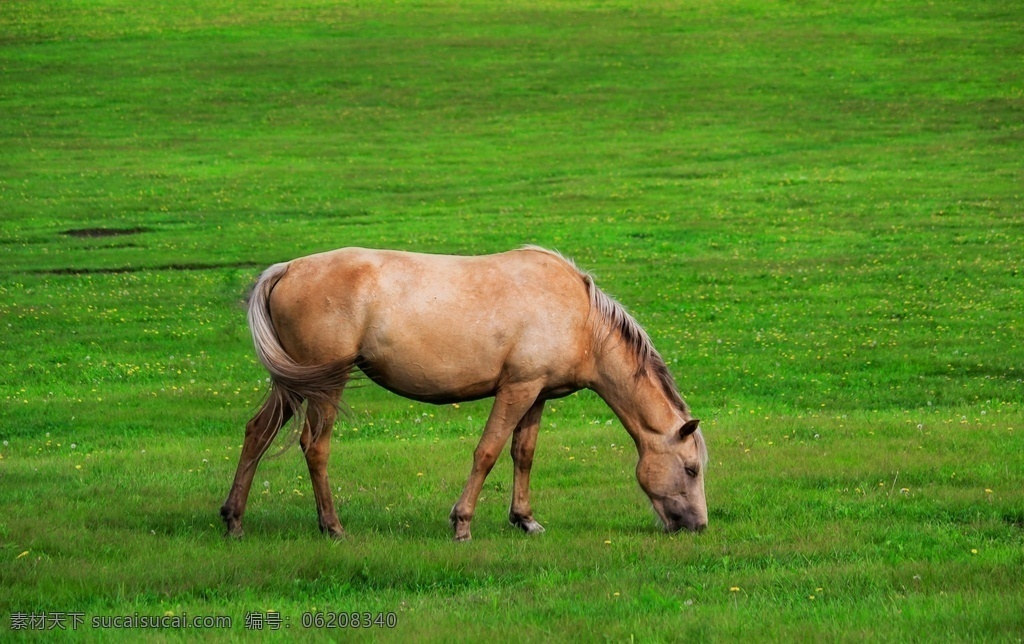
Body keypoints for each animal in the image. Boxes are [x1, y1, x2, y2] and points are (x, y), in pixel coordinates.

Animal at [220, 246, 708, 541]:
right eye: (691, 469)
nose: (699, 525)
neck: (582, 318)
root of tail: (288, 268)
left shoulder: (537, 394)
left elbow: (523, 454)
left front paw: (525, 519)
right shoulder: (517, 389)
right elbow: (487, 452)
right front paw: (462, 524)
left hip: (293, 386)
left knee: (256, 433)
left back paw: (233, 519)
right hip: (325, 387)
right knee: (315, 447)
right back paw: (333, 526)